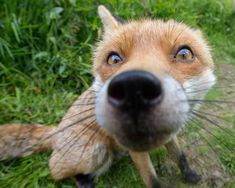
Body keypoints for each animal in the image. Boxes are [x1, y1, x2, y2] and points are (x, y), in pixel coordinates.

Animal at [0, 5, 218, 187]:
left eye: (184, 54)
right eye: (114, 58)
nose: (133, 88)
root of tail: (57, 129)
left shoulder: (171, 135)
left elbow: (180, 157)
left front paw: (190, 176)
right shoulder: (137, 153)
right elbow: (152, 180)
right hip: (95, 152)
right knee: (56, 169)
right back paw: (83, 182)